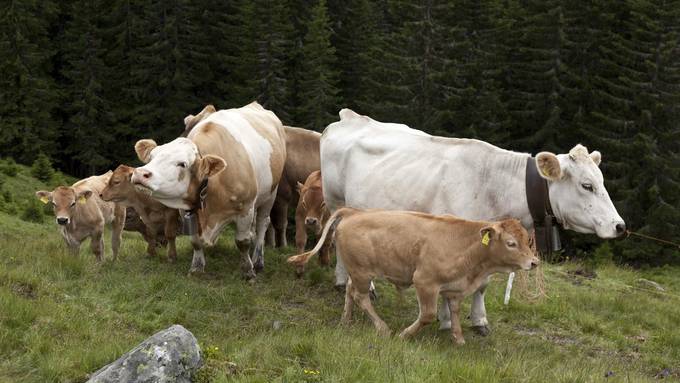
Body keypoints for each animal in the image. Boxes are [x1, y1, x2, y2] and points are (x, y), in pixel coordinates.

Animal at [131, 103, 286, 280]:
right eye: (151, 157)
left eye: (182, 164)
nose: (140, 173)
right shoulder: (186, 210)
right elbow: (195, 241)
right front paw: (197, 267)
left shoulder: (245, 208)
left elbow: (242, 242)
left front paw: (248, 271)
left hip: (270, 194)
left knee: (262, 224)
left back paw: (258, 261)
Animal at [290, 208, 540, 346]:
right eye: (511, 243)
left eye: (527, 240)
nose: (534, 262)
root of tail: (355, 212)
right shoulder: (425, 282)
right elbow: (428, 314)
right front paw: (405, 334)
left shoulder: (454, 289)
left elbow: (455, 311)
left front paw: (458, 338)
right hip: (362, 272)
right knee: (361, 297)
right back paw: (383, 328)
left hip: (359, 270)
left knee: (351, 291)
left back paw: (346, 320)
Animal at [322, 109, 624, 336]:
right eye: (587, 185)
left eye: (601, 181)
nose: (619, 225)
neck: (494, 186)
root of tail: (351, 116)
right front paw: (446, 320)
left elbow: (482, 285)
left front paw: (479, 321)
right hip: (335, 200)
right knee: (337, 239)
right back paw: (345, 280)